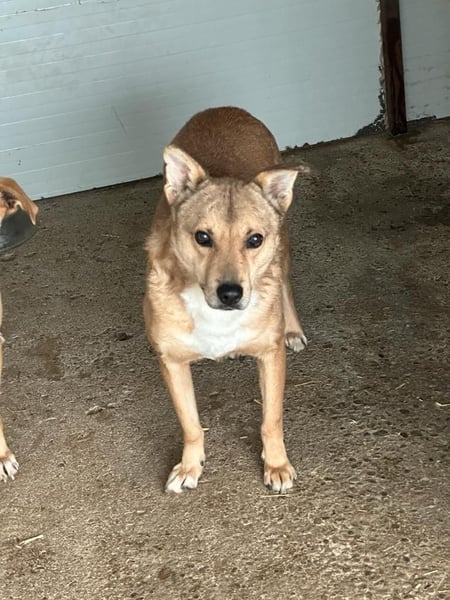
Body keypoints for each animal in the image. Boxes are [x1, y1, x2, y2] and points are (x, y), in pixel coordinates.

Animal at [144, 107, 309, 493]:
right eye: (202, 237)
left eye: (255, 239)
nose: (231, 293)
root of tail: (227, 110)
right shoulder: (172, 362)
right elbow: (190, 424)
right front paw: (190, 466)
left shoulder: (270, 357)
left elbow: (271, 419)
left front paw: (277, 464)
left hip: (284, 251)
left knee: (285, 284)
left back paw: (293, 328)